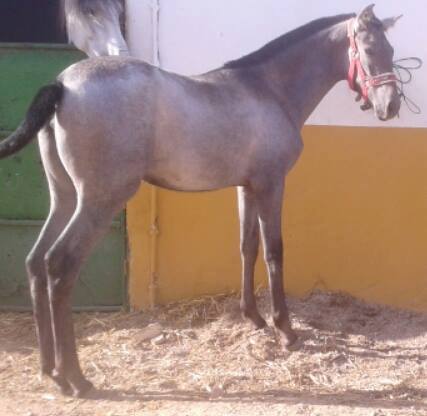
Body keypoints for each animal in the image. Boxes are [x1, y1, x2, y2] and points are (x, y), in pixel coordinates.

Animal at [0, 5, 402, 397]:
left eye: (391, 50)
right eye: (369, 50)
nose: (391, 106)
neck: (270, 89)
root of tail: (62, 85)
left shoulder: (246, 187)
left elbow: (247, 247)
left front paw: (253, 317)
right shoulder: (271, 184)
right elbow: (274, 251)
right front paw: (285, 329)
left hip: (64, 197)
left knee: (36, 262)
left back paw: (50, 370)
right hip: (99, 202)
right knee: (59, 265)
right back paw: (75, 378)